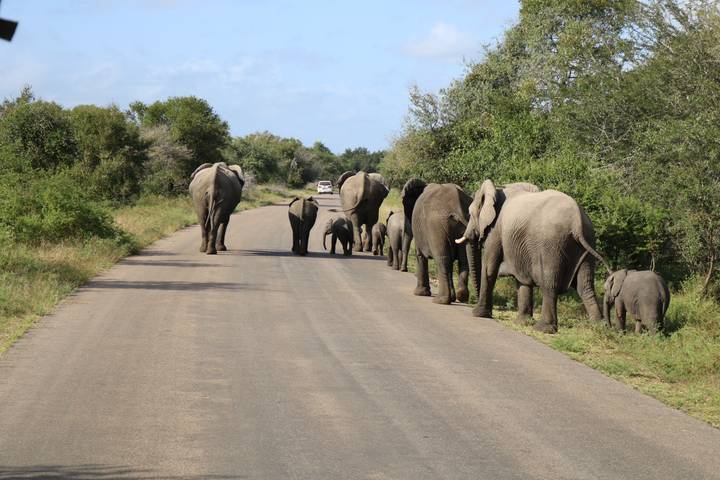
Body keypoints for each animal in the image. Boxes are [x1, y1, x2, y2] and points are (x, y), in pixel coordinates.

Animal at [457, 179, 610, 333]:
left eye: (470, 214)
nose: (469, 300)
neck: (497, 189)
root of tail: (577, 221)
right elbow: (522, 278)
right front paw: (522, 323)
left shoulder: (496, 230)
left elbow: (489, 268)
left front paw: (478, 314)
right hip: (587, 242)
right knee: (585, 286)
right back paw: (600, 328)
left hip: (552, 244)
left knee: (549, 283)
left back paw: (543, 328)